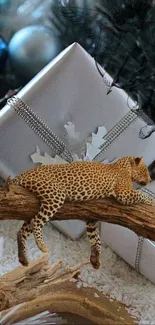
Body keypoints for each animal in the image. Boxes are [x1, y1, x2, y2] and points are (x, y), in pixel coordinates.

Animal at [11, 154, 154, 268]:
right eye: (146, 170)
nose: (150, 180)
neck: (125, 166)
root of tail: (22, 174)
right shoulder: (123, 193)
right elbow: (141, 194)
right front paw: (152, 201)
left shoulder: (91, 218)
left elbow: (95, 237)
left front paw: (96, 259)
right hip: (55, 195)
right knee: (36, 222)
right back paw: (41, 245)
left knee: (22, 230)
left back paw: (23, 258)